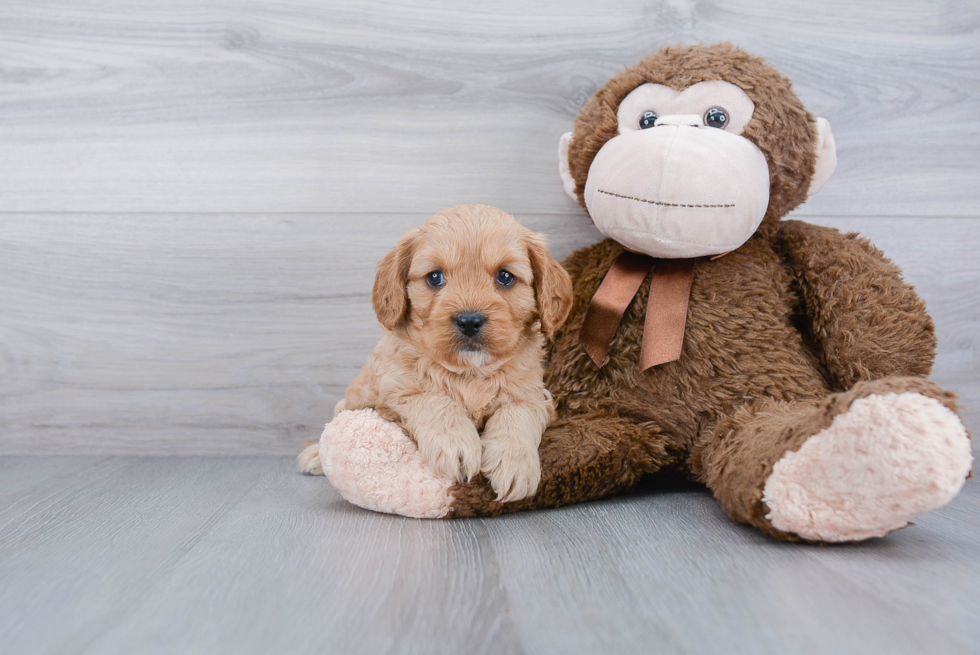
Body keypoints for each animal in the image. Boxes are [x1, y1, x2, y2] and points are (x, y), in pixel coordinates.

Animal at [302, 205, 572, 502]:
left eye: (505, 276)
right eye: (434, 277)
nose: (469, 321)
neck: (470, 372)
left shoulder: (535, 397)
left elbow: (516, 414)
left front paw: (515, 463)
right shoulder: (396, 389)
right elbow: (434, 399)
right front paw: (456, 444)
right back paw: (314, 455)